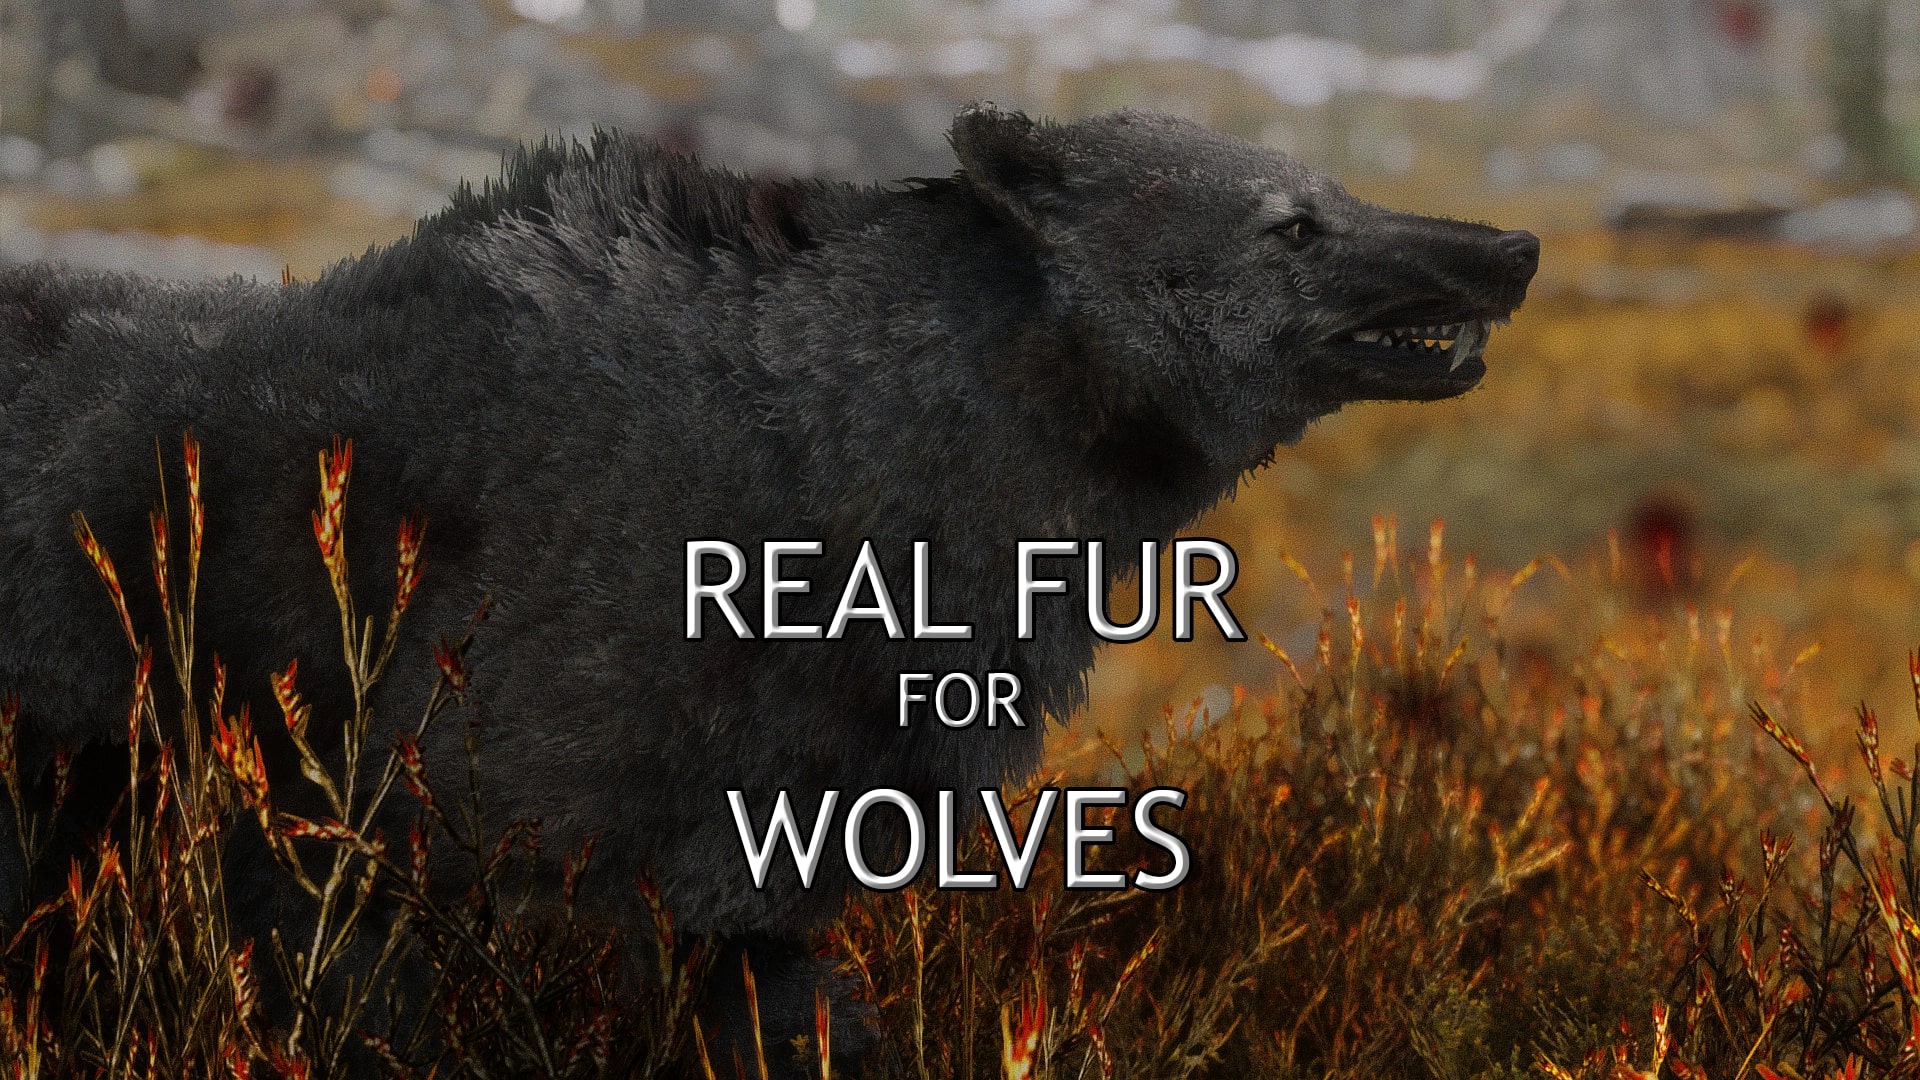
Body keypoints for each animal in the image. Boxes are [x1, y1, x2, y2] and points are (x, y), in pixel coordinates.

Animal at [0, 105, 1536, 1069]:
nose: (1505, 248)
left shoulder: (770, 824)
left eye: (1326, 188)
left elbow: (786, 1002)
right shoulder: (404, 771)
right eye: (1292, 223)